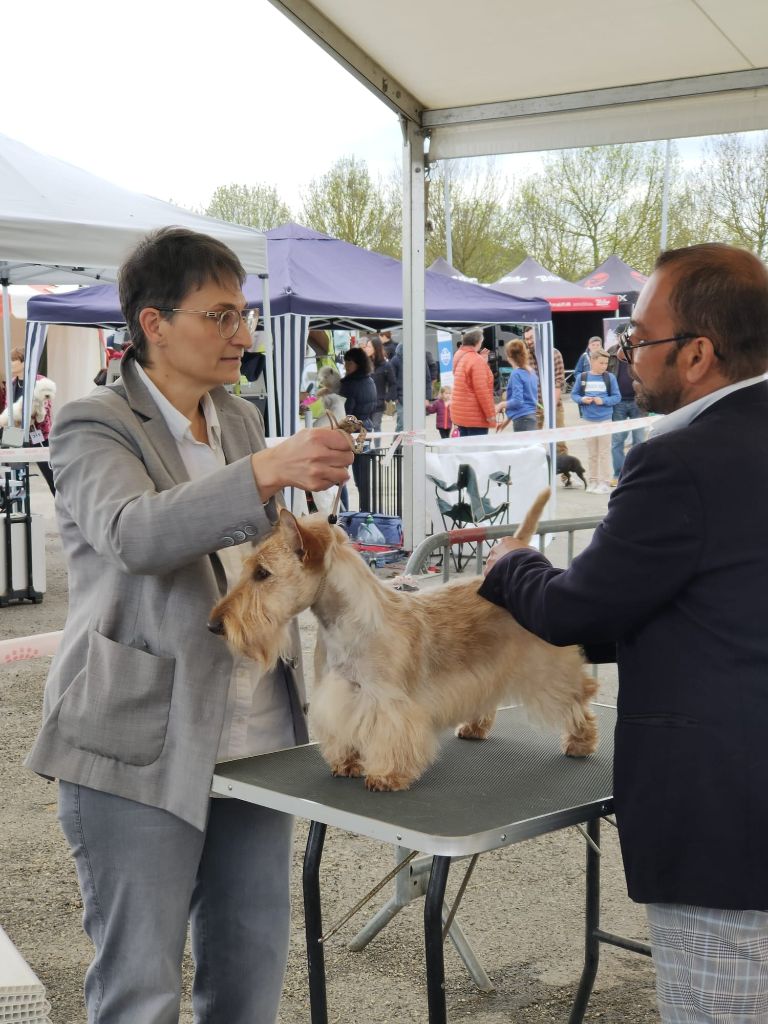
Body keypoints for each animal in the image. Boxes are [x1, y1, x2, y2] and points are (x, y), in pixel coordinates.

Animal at [210, 487, 602, 790]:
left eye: (263, 573)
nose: (215, 625)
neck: (345, 623)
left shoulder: (389, 702)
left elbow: (392, 736)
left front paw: (386, 775)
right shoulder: (340, 693)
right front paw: (346, 763)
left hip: (546, 667)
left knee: (576, 697)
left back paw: (581, 741)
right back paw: (475, 727)